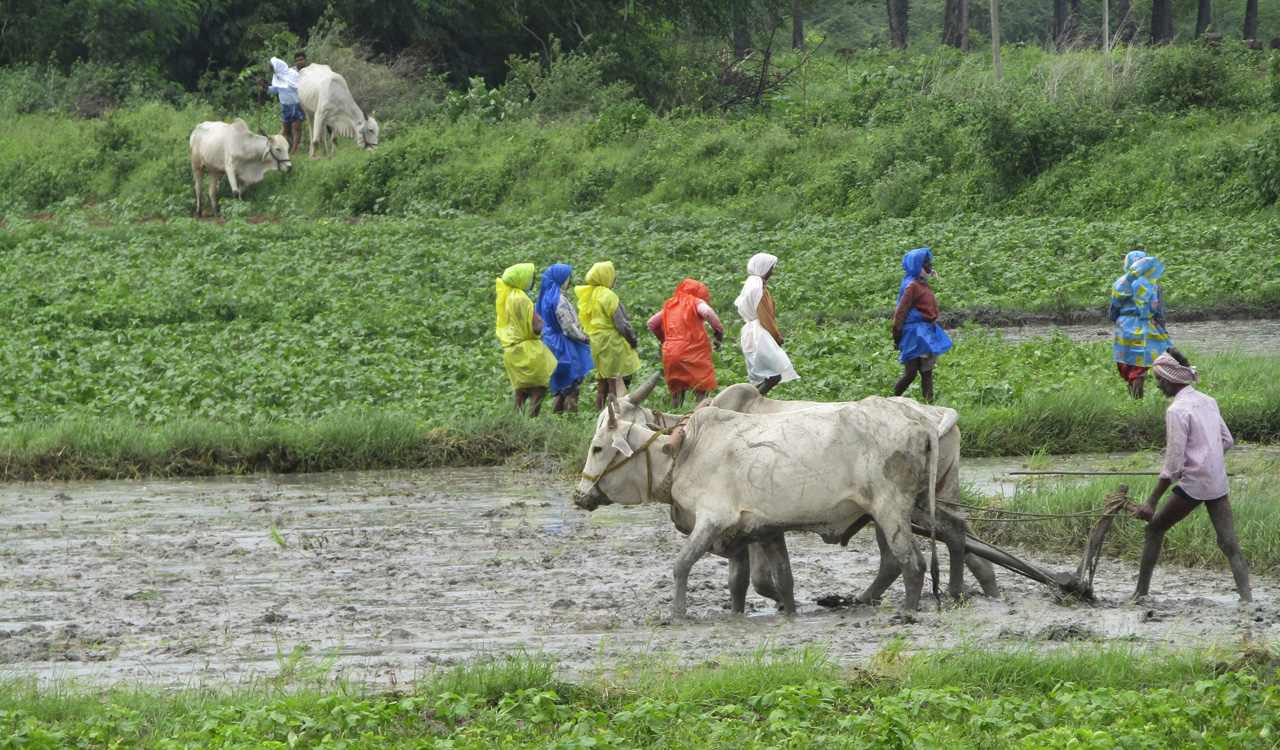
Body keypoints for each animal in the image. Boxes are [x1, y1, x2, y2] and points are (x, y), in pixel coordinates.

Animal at [573, 396, 952, 614]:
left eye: (597, 448)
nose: (579, 495)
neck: (682, 454)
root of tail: (920, 424)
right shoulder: (759, 531)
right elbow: (765, 580)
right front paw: (774, 611)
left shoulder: (712, 519)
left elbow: (681, 566)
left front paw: (677, 613)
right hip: (907, 508)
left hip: (890, 510)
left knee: (912, 562)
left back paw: (908, 611)